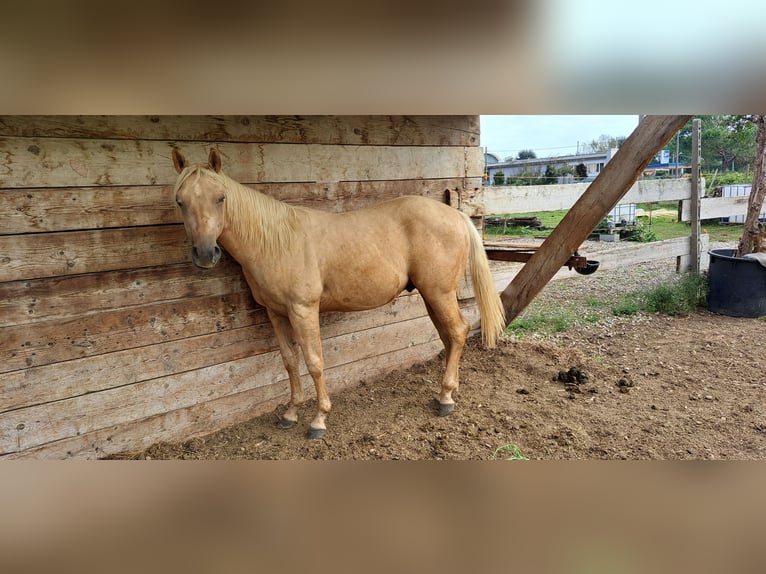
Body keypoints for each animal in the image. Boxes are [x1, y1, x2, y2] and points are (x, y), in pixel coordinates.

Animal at [175, 150, 510, 440]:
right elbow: (289, 361)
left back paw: (445, 399)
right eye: (180, 201)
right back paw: (448, 391)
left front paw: (318, 420)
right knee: (450, 336)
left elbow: (314, 362)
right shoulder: (276, 313)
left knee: (458, 331)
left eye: (220, 198)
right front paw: (290, 414)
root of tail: (456, 215)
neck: (276, 242)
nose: (205, 254)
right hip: (432, 296)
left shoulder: (303, 310)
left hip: (439, 293)